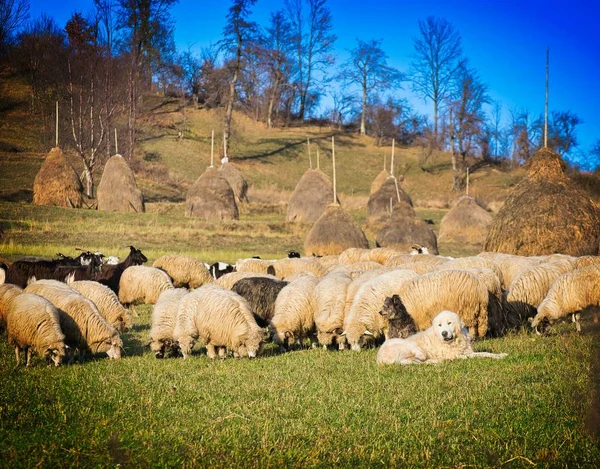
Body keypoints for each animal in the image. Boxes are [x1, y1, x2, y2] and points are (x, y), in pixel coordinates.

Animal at [378, 310, 508, 366]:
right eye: (439, 325)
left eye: (449, 323)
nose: (444, 333)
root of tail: (379, 358)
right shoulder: (455, 354)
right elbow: (470, 356)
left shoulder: (467, 351)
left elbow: (485, 353)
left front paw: (501, 355)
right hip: (410, 346)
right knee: (410, 360)